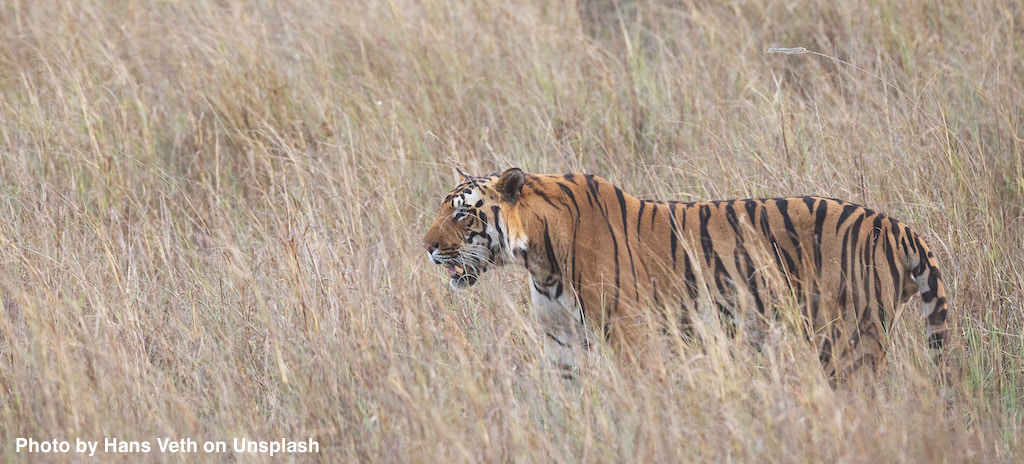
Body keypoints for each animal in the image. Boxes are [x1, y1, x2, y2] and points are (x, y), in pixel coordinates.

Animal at [419, 167, 946, 381]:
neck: (540, 261)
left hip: (850, 341)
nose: (425, 247)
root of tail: (898, 227)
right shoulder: (561, 341)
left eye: (462, 214)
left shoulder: (632, 335)